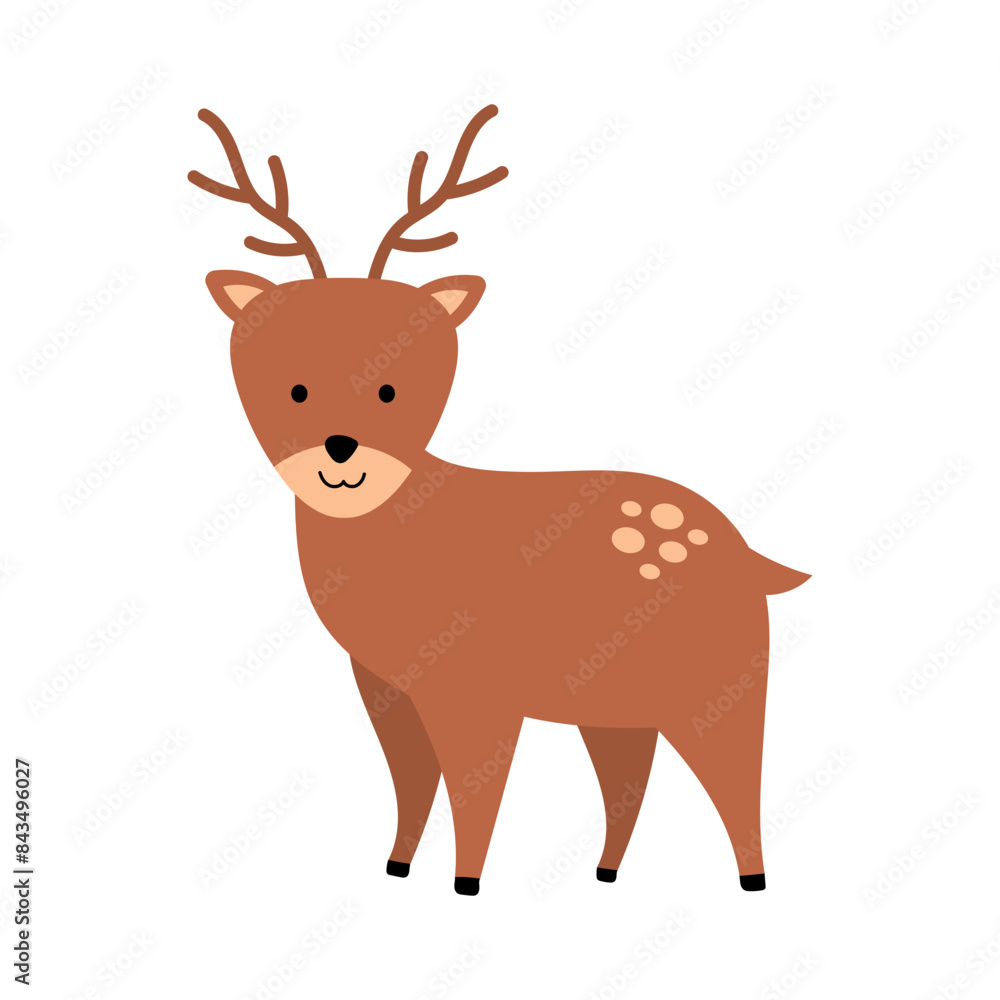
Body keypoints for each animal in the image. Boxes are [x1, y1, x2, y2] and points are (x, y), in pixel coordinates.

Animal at [189, 105, 809, 896]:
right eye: (293, 388)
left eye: (392, 389)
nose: (340, 448)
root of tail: (753, 555)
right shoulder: (386, 686)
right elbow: (411, 782)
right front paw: (396, 868)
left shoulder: (475, 686)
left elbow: (474, 788)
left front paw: (466, 885)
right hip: (613, 704)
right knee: (630, 779)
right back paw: (605, 874)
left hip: (720, 681)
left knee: (737, 776)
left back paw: (752, 881)